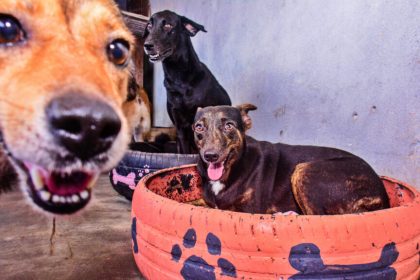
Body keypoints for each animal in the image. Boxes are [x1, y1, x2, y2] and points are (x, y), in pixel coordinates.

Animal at [194, 105, 390, 214]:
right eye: (199, 127)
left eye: (229, 126)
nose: (210, 156)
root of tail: (383, 197)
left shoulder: (250, 210)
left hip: (304, 170)